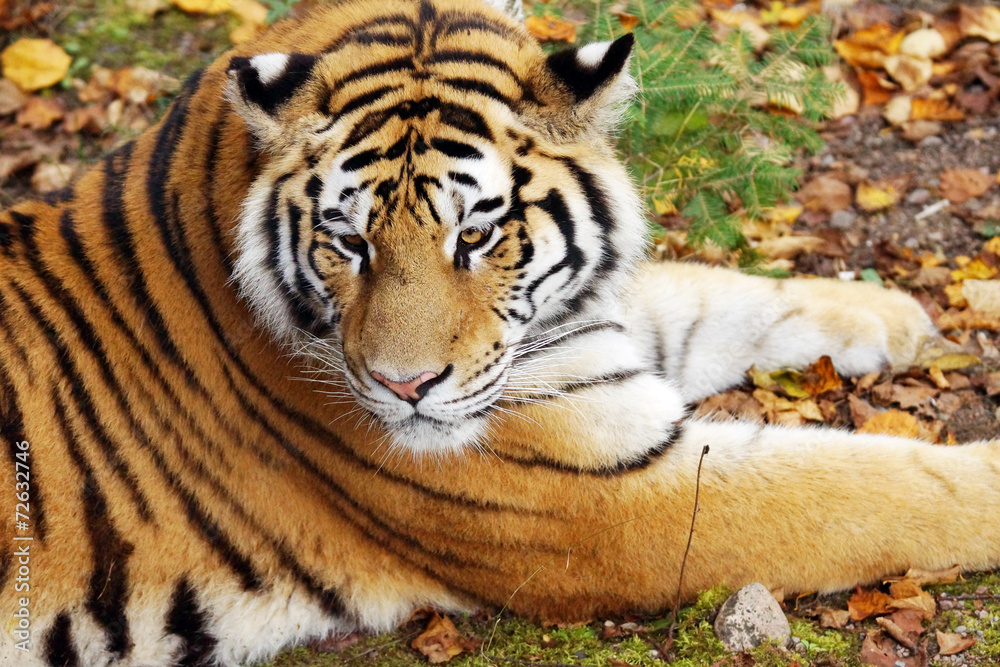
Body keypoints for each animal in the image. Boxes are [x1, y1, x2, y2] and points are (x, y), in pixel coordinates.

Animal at [0, 0, 997, 665]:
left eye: (475, 235)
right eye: (349, 241)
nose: (403, 388)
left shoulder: (583, 341)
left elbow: (708, 296)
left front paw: (895, 314)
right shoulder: (616, 501)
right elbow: (872, 487)